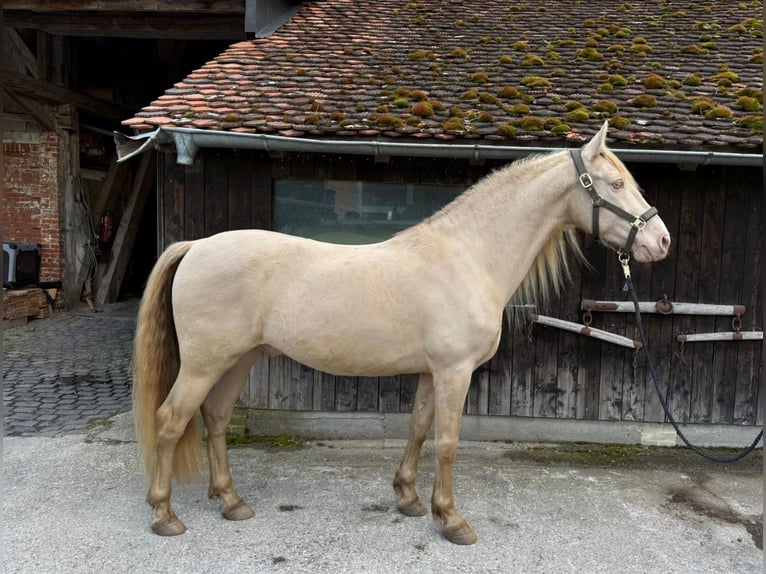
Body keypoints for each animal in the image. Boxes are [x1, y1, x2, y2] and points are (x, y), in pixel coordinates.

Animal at [132, 121, 670, 545]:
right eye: (616, 183)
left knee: (216, 417)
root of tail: (197, 245)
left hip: (238, 359)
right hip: (204, 363)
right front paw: (451, 520)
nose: (660, 241)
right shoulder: (455, 373)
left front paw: (410, 499)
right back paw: (164, 514)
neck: (468, 257)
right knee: (170, 421)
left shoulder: (434, 372)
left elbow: (417, 427)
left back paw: (230, 501)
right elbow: (448, 441)